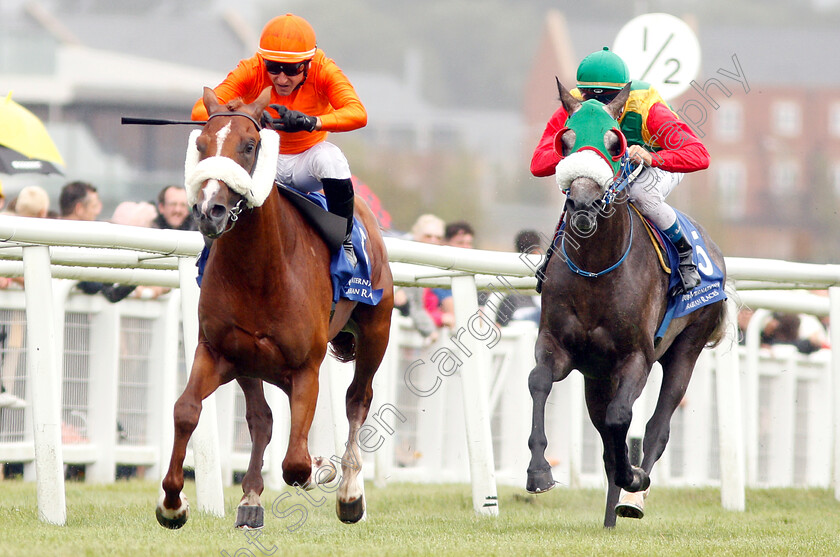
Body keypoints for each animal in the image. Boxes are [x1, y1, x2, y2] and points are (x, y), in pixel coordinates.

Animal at [155, 87, 394, 528]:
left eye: (249, 146)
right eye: (201, 145)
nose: (210, 210)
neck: (260, 271)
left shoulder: (305, 368)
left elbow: (296, 462)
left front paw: (323, 467)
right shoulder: (216, 351)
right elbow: (186, 410)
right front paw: (173, 502)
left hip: (376, 331)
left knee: (358, 398)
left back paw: (350, 492)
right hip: (249, 363)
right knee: (262, 419)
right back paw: (250, 499)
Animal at [524, 81, 728, 524]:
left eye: (616, 143)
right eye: (565, 140)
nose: (583, 204)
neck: (597, 269)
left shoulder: (637, 356)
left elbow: (623, 417)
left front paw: (632, 476)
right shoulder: (559, 346)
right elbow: (540, 382)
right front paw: (539, 471)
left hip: (686, 347)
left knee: (656, 425)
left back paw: (633, 497)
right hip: (596, 375)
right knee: (604, 433)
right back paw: (610, 512)